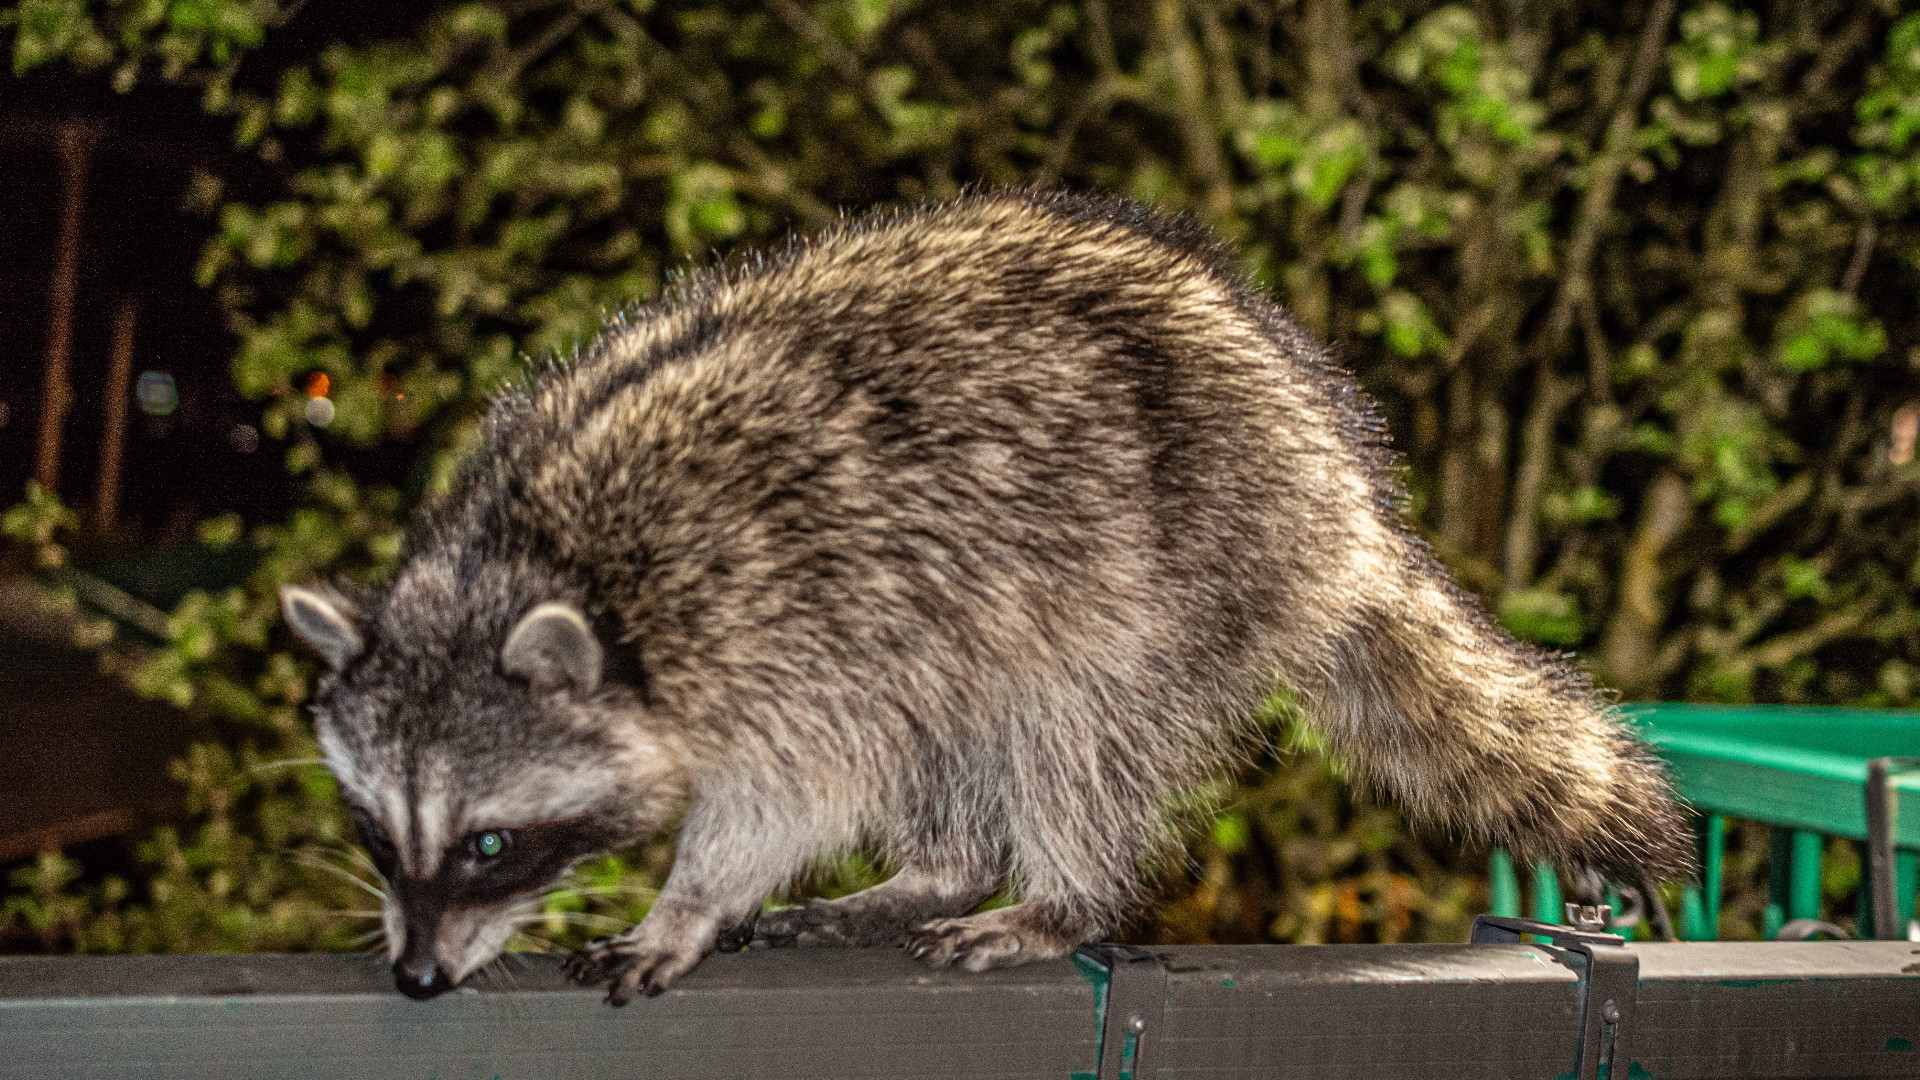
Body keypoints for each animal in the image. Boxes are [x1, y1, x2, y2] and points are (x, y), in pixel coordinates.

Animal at [278, 189, 1689, 1006]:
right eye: (376, 829)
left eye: (490, 843)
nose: (415, 976)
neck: (535, 561)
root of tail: (1347, 495)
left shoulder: (794, 620)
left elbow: (795, 792)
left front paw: (686, 901)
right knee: (955, 728)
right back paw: (939, 871)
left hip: (1175, 559)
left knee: (1080, 729)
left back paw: (1057, 896)